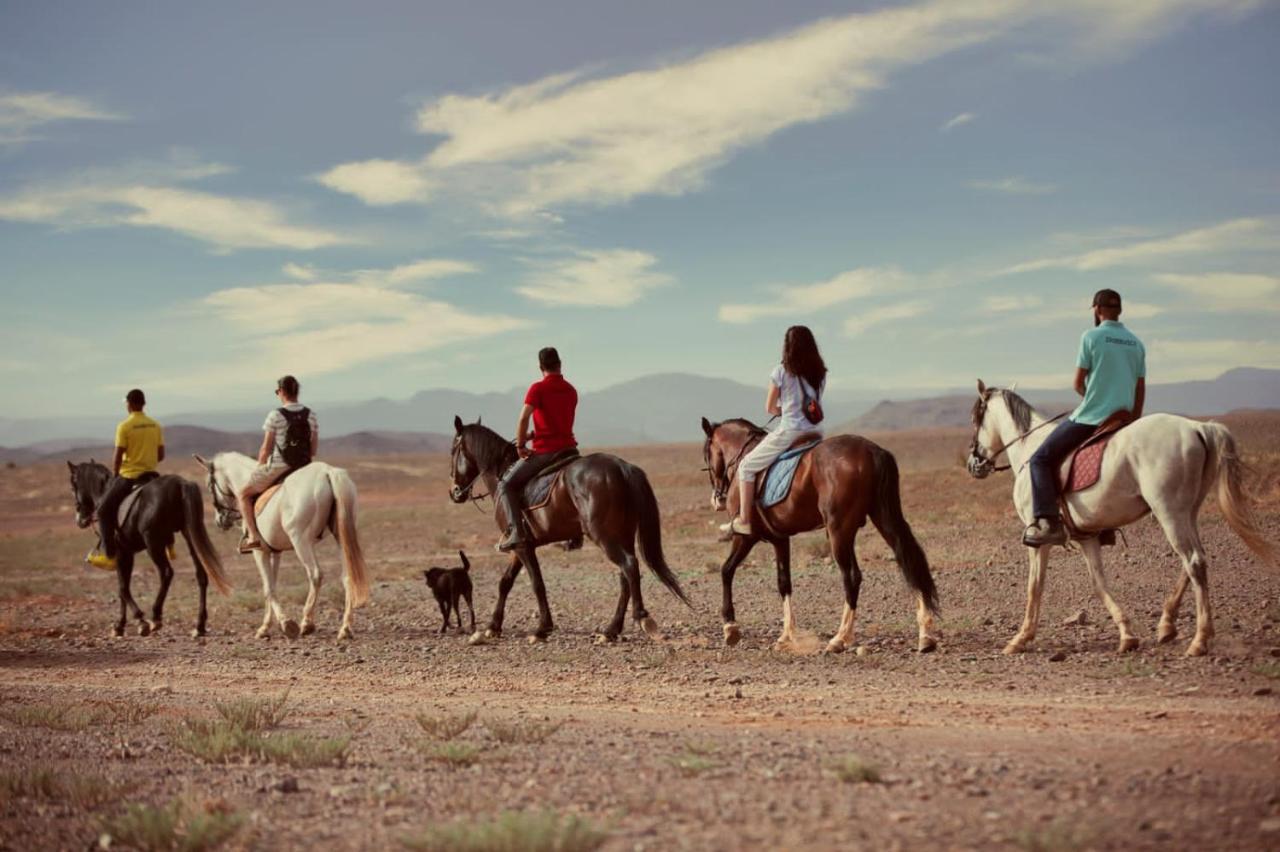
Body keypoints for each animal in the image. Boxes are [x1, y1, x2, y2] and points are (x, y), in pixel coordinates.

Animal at [64, 460, 231, 634]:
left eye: (73, 486)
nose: (80, 519)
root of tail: (181, 484)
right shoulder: (128, 553)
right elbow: (123, 586)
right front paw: (120, 625)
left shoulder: (122, 553)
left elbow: (122, 587)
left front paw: (138, 620)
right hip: (189, 534)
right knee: (201, 574)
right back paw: (199, 625)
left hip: (153, 542)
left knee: (166, 573)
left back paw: (155, 617)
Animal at [194, 450, 368, 637]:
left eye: (209, 485)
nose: (220, 520)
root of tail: (327, 471)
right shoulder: (275, 552)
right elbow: (273, 585)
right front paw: (267, 626)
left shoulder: (259, 552)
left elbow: (268, 588)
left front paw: (283, 623)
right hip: (341, 539)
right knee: (347, 576)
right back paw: (345, 628)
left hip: (301, 541)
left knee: (315, 574)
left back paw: (307, 623)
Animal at [450, 414, 691, 639]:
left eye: (453, 450)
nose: (454, 492)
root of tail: (622, 467)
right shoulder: (520, 545)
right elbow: (505, 582)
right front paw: (493, 626)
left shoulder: (522, 546)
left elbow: (536, 583)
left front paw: (542, 628)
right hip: (623, 535)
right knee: (626, 575)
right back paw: (611, 630)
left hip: (605, 536)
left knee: (630, 566)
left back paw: (641, 618)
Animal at [701, 417, 942, 649]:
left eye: (706, 454)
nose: (716, 499)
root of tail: (873, 451)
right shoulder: (780, 539)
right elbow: (783, 582)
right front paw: (786, 635)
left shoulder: (746, 537)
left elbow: (726, 570)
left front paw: (730, 627)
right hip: (881, 519)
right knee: (908, 560)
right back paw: (925, 635)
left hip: (838, 531)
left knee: (852, 576)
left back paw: (840, 638)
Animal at [967, 378, 1269, 654]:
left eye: (975, 418)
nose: (974, 464)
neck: (1029, 449)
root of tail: (1198, 428)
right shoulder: (1086, 536)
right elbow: (1098, 583)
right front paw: (1127, 635)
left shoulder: (1039, 539)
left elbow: (1035, 586)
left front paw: (1020, 639)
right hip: (1188, 513)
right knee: (1194, 562)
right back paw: (1167, 625)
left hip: (1169, 512)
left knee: (1194, 561)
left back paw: (1199, 640)